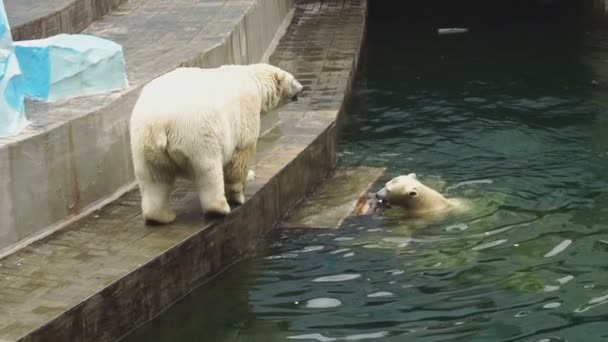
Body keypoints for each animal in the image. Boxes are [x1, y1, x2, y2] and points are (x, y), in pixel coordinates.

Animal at [131, 64, 306, 224]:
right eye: (292, 79)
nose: (302, 87)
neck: (253, 78)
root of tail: (161, 123)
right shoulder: (246, 110)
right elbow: (241, 154)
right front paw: (239, 194)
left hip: (144, 142)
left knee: (154, 178)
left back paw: (161, 216)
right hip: (197, 135)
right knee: (208, 171)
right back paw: (219, 209)